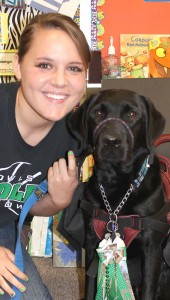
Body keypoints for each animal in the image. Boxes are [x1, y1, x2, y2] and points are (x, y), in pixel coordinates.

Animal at [67, 89, 170, 300]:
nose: (111, 141)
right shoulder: (93, 243)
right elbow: (90, 288)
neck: (117, 183)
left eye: (132, 114)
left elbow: (148, 290)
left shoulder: (152, 247)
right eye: (98, 113)